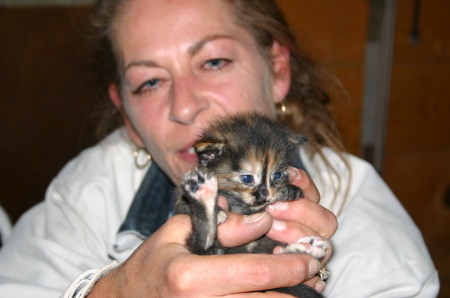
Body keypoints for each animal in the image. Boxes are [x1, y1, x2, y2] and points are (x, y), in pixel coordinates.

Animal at [174, 112, 328, 298]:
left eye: (277, 175)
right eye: (247, 178)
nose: (266, 196)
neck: (241, 206)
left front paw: (289, 191)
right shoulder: (180, 201)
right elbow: (184, 203)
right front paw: (218, 210)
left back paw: (309, 248)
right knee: (203, 245)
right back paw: (204, 195)